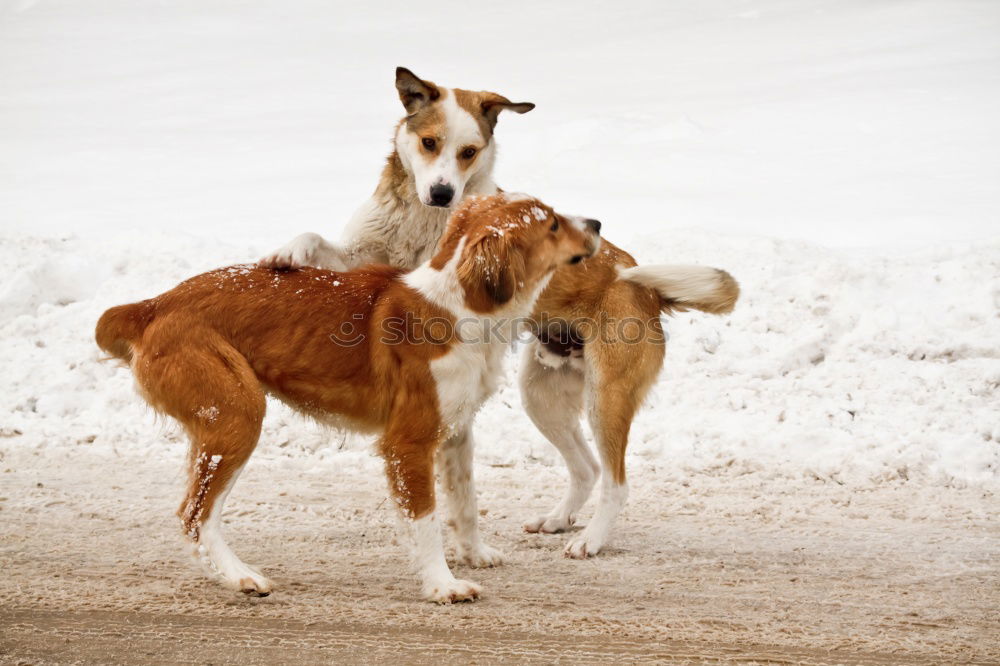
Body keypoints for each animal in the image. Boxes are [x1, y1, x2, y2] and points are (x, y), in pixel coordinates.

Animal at [262, 67, 740, 560]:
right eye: (429, 142)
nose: (442, 193)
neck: (417, 217)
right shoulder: (363, 253)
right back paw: (559, 519)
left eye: (468, 152)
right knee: (586, 467)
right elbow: (318, 241)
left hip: (606, 397)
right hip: (542, 395)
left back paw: (590, 540)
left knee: (616, 481)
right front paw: (289, 252)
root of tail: (643, 288)